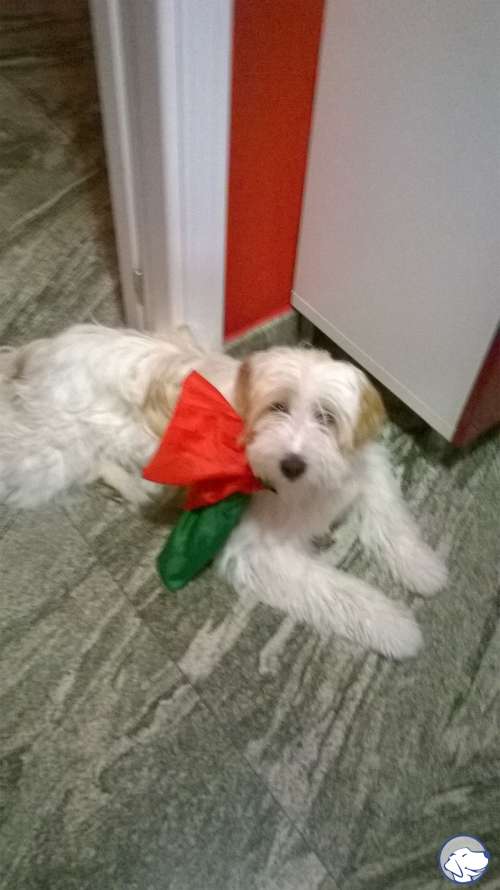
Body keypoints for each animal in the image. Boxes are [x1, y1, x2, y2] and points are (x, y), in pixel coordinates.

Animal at [0, 324, 447, 658]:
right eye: (277, 407)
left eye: (327, 417)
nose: (292, 464)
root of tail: (40, 350)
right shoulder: (259, 549)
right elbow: (334, 590)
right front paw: (395, 627)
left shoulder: (367, 466)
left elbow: (392, 519)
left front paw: (423, 568)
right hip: (53, 451)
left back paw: (136, 487)